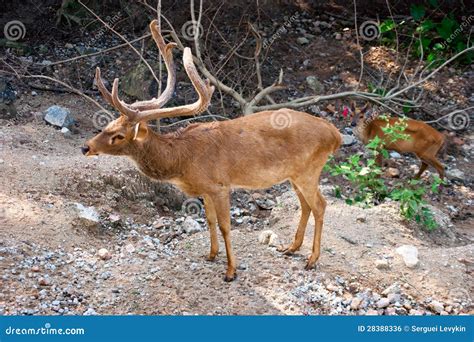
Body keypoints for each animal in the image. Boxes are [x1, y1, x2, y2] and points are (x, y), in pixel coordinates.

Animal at [80, 20, 340, 280]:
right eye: (107, 124)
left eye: (119, 136)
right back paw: (291, 247)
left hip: (309, 170)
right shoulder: (205, 190)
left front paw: (231, 271)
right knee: (306, 205)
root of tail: (335, 134)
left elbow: (226, 226)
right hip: (294, 174)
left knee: (320, 205)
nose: (86, 147)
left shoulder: (219, 185)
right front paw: (211, 254)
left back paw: (311, 259)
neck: (182, 160)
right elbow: (210, 221)